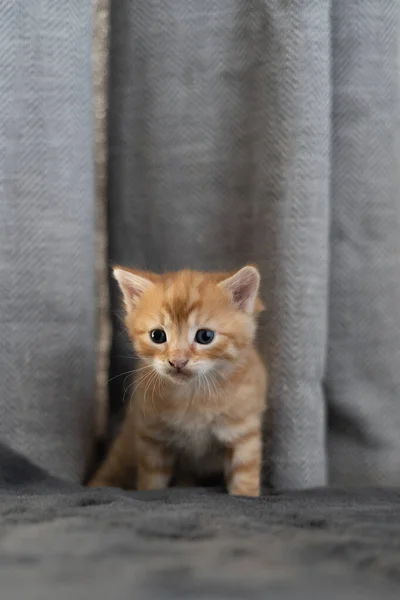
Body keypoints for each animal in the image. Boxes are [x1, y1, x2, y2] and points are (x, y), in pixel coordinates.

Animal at [89, 266, 268, 496]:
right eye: (157, 336)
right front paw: (149, 492)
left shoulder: (244, 432)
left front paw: (245, 496)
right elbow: (151, 478)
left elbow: (245, 474)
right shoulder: (151, 436)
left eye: (205, 336)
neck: (192, 395)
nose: (177, 361)